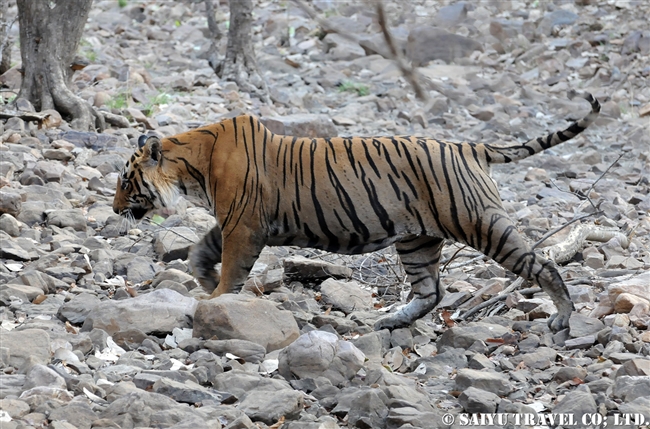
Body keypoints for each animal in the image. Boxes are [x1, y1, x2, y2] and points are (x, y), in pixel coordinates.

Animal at [112, 91, 596, 332]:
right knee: (430, 292)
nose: (114, 209)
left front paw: (215, 299)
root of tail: (470, 146)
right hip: (417, 241)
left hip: (480, 222)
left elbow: (232, 267)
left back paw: (563, 316)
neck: (190, 167)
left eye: (125, 182)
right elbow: (201, 250)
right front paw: (204, 278)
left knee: (541, 263)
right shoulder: (233, 221)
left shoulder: (243, 225)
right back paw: (389, 322)